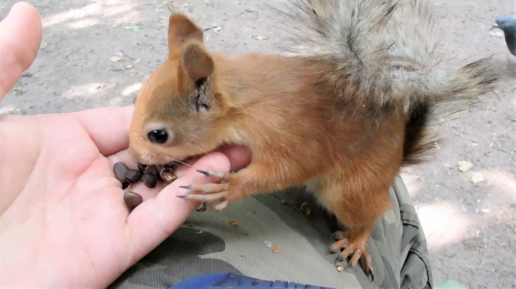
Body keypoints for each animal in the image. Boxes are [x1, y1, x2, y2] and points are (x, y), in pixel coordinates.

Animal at [128, 0, 500, 276]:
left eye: (158, 135)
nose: (136, 160)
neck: (246, 103)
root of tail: (396, 161)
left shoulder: (293, 136)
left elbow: (286, 170)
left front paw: (228, 187)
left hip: (350, 190)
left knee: (371, 213)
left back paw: (356, 240)